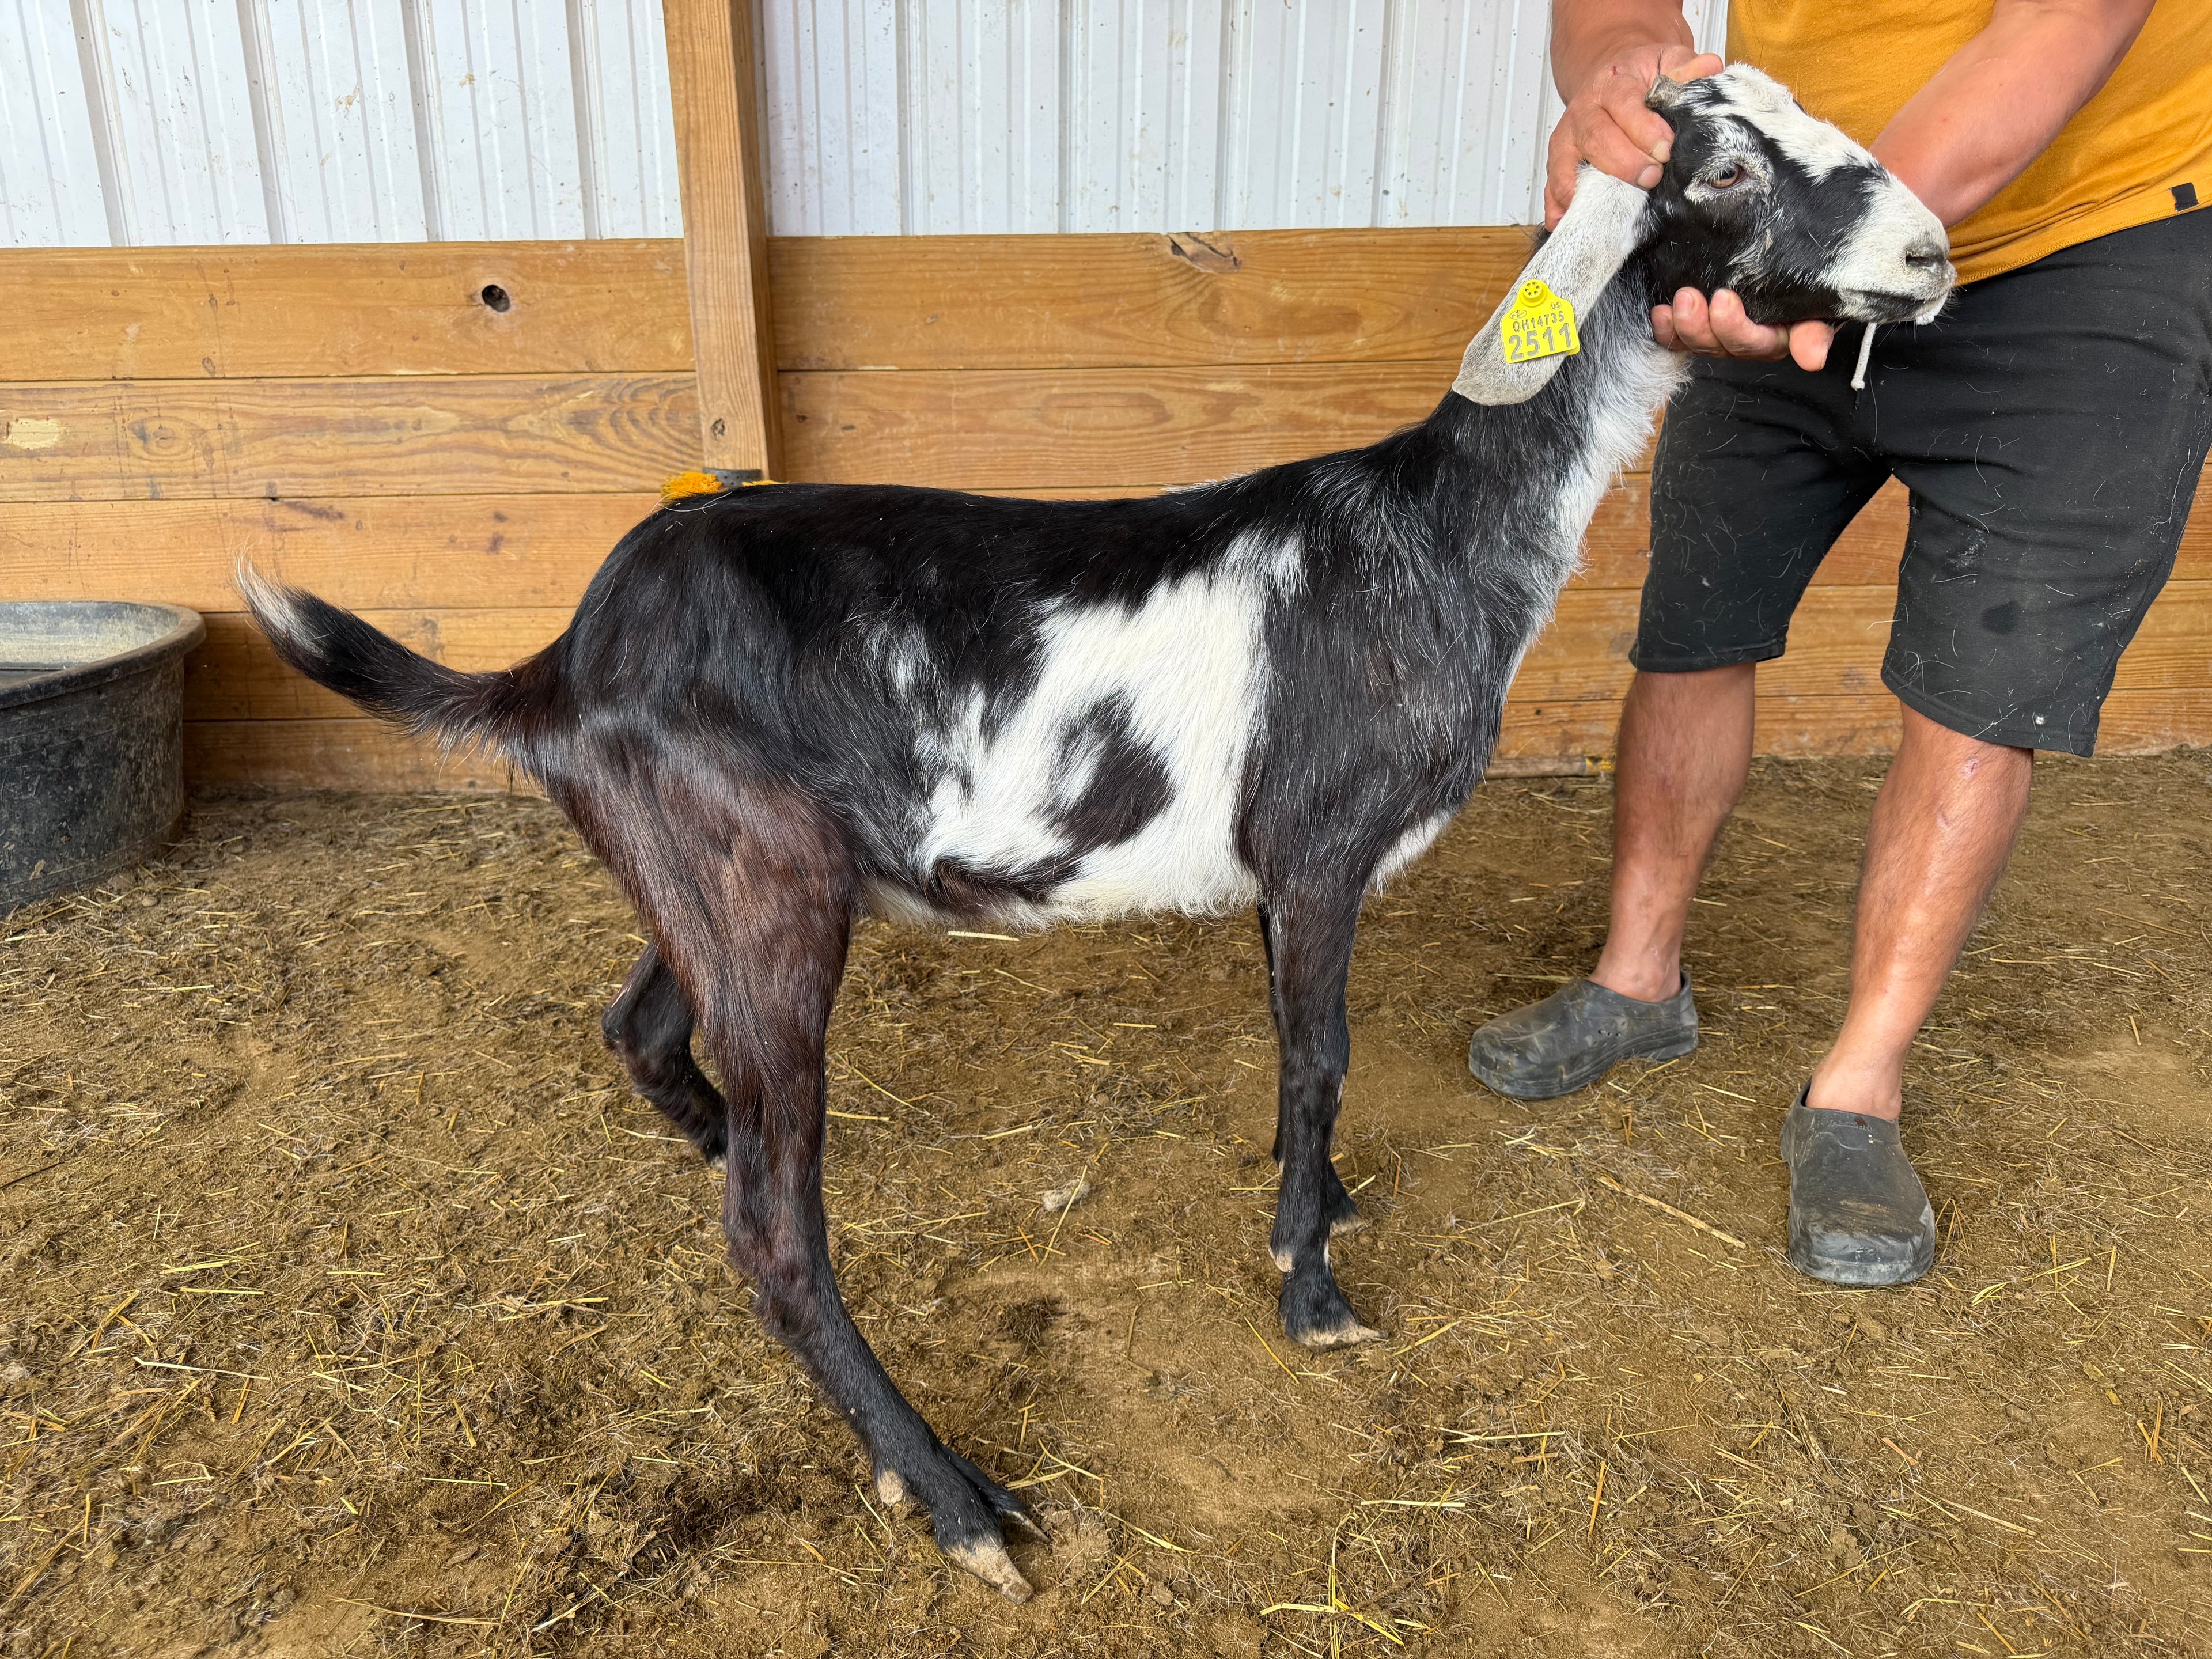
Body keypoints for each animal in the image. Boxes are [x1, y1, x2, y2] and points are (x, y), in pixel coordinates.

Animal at [242, 67, 1951, 1602]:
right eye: (1722, 170)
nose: (1932, 255)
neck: (1435, 535)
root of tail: (565, 655)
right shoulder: (1319, 842)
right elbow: (1319, 1056)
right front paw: (1309, 1287)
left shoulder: (1279, 872)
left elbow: (1295, 1056)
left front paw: (1319, 1203)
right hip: (763, 883)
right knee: (773, 1234)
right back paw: (954, 1497)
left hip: (712, 876)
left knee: (643, 1030)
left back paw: (726, 1144)